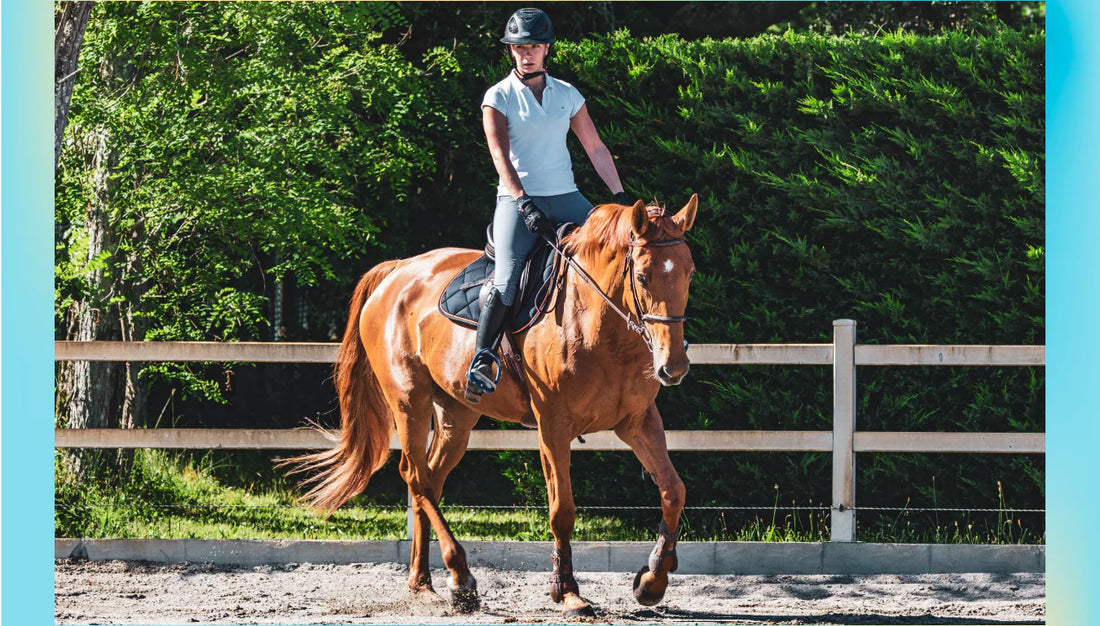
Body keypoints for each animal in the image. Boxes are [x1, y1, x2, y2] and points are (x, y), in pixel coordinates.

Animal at [286, 195, 699, 618]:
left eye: (689, 273)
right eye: (643, 277)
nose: (673, 367)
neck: (598, 325)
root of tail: (396, 271)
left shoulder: (638, 422)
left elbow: (674, 491)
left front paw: (652, 580)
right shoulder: (553, 425)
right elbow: (562, 510)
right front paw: (567, 592)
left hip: (456, 414)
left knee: (429, 480)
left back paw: (425, 584)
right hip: (409, 400)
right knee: (415, 475)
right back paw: (461, 576)